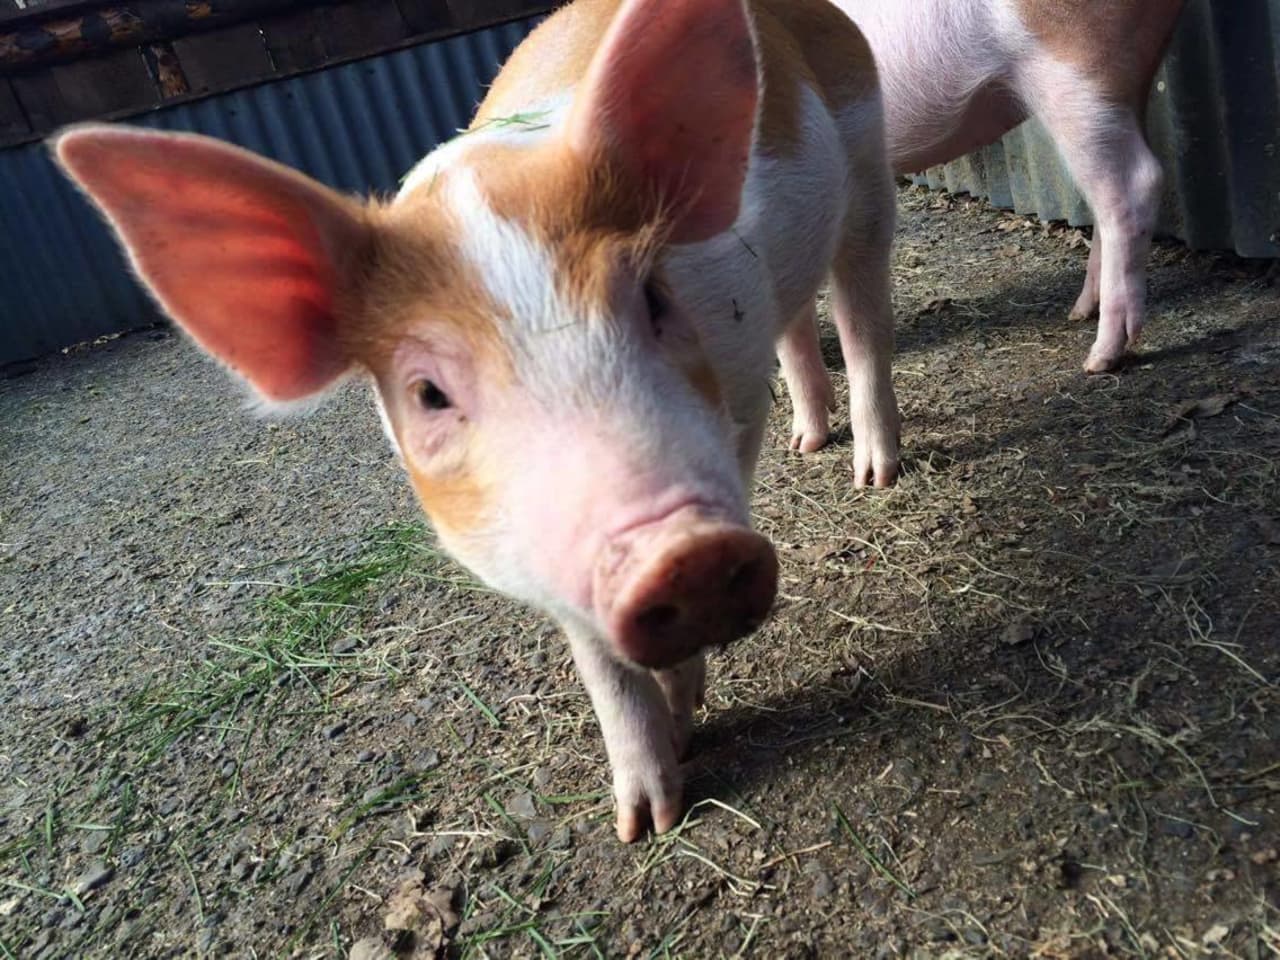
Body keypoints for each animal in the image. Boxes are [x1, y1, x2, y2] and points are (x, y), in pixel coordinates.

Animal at [54, 0, 901, 841]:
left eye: (655, 298)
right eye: (428, 392)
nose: (683, 553)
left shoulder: (734, 411)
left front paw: (680, 735)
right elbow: (598, 658)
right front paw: (645, 821)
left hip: (868, 157)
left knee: (861, 315)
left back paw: (874, 473)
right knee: (801, 322)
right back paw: (810, 441)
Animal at [782, 0, 1186, 452]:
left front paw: (803, 443)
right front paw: (802, 443)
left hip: (1077, 72)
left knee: (1136, 183)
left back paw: (1100, 358)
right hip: (1123, 83)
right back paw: (1080, 312)